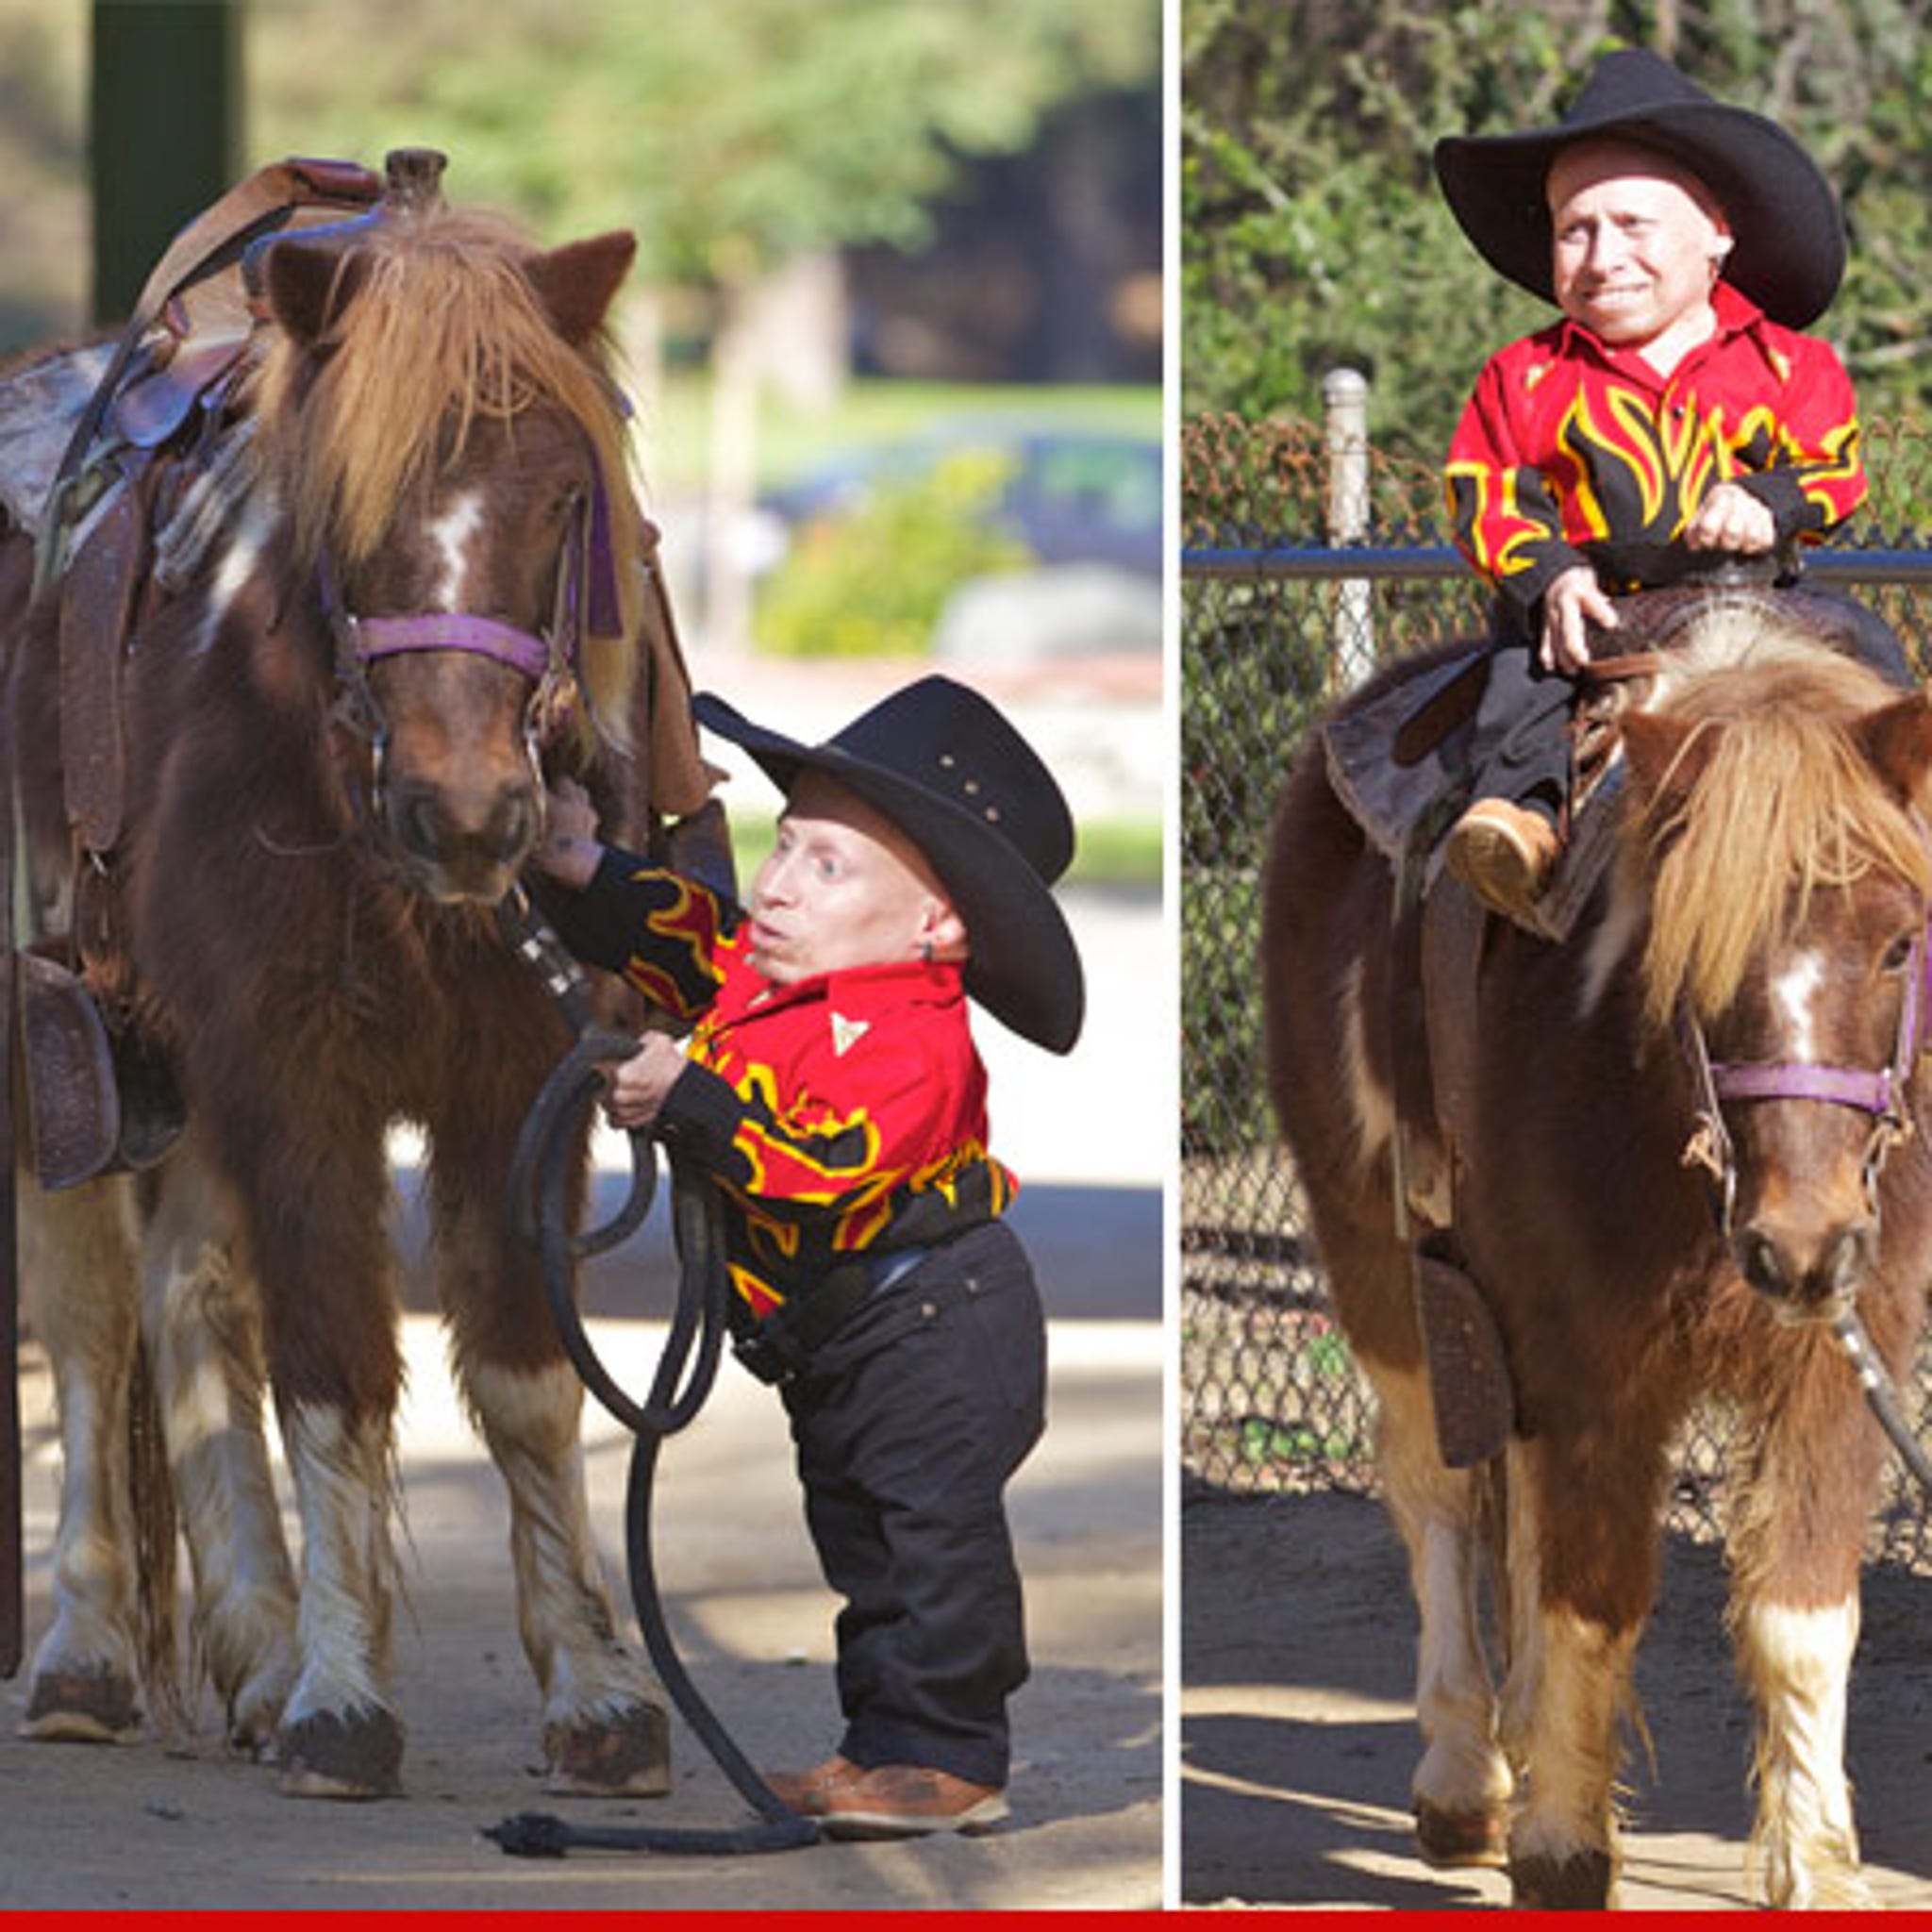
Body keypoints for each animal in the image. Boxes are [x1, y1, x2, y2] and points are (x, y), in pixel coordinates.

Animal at [0, 192, 710, 1792]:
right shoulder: (289, 1070)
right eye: (350, 511)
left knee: (192, 1300)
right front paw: (340, 1700)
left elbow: (522, 1374)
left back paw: (255, 1647)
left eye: (562, 496)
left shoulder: (522, 1081)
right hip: (61, 1061)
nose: (470, 813)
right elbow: (330, 1365)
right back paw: (88, 1655)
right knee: (94, 1316)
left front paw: (595, 1693)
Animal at [1259, 598, 1932, 1901]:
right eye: (1698, 949)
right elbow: (1591, 1597)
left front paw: (1817, 1865)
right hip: (1378, 1259)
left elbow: (1799, 1610)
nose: (1797, 1241)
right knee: (1433, 1495)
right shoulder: (1589, 1357)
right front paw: (1563, 1844)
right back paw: (1465, 1775)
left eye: (1893, 946)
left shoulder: (1841, 1351)